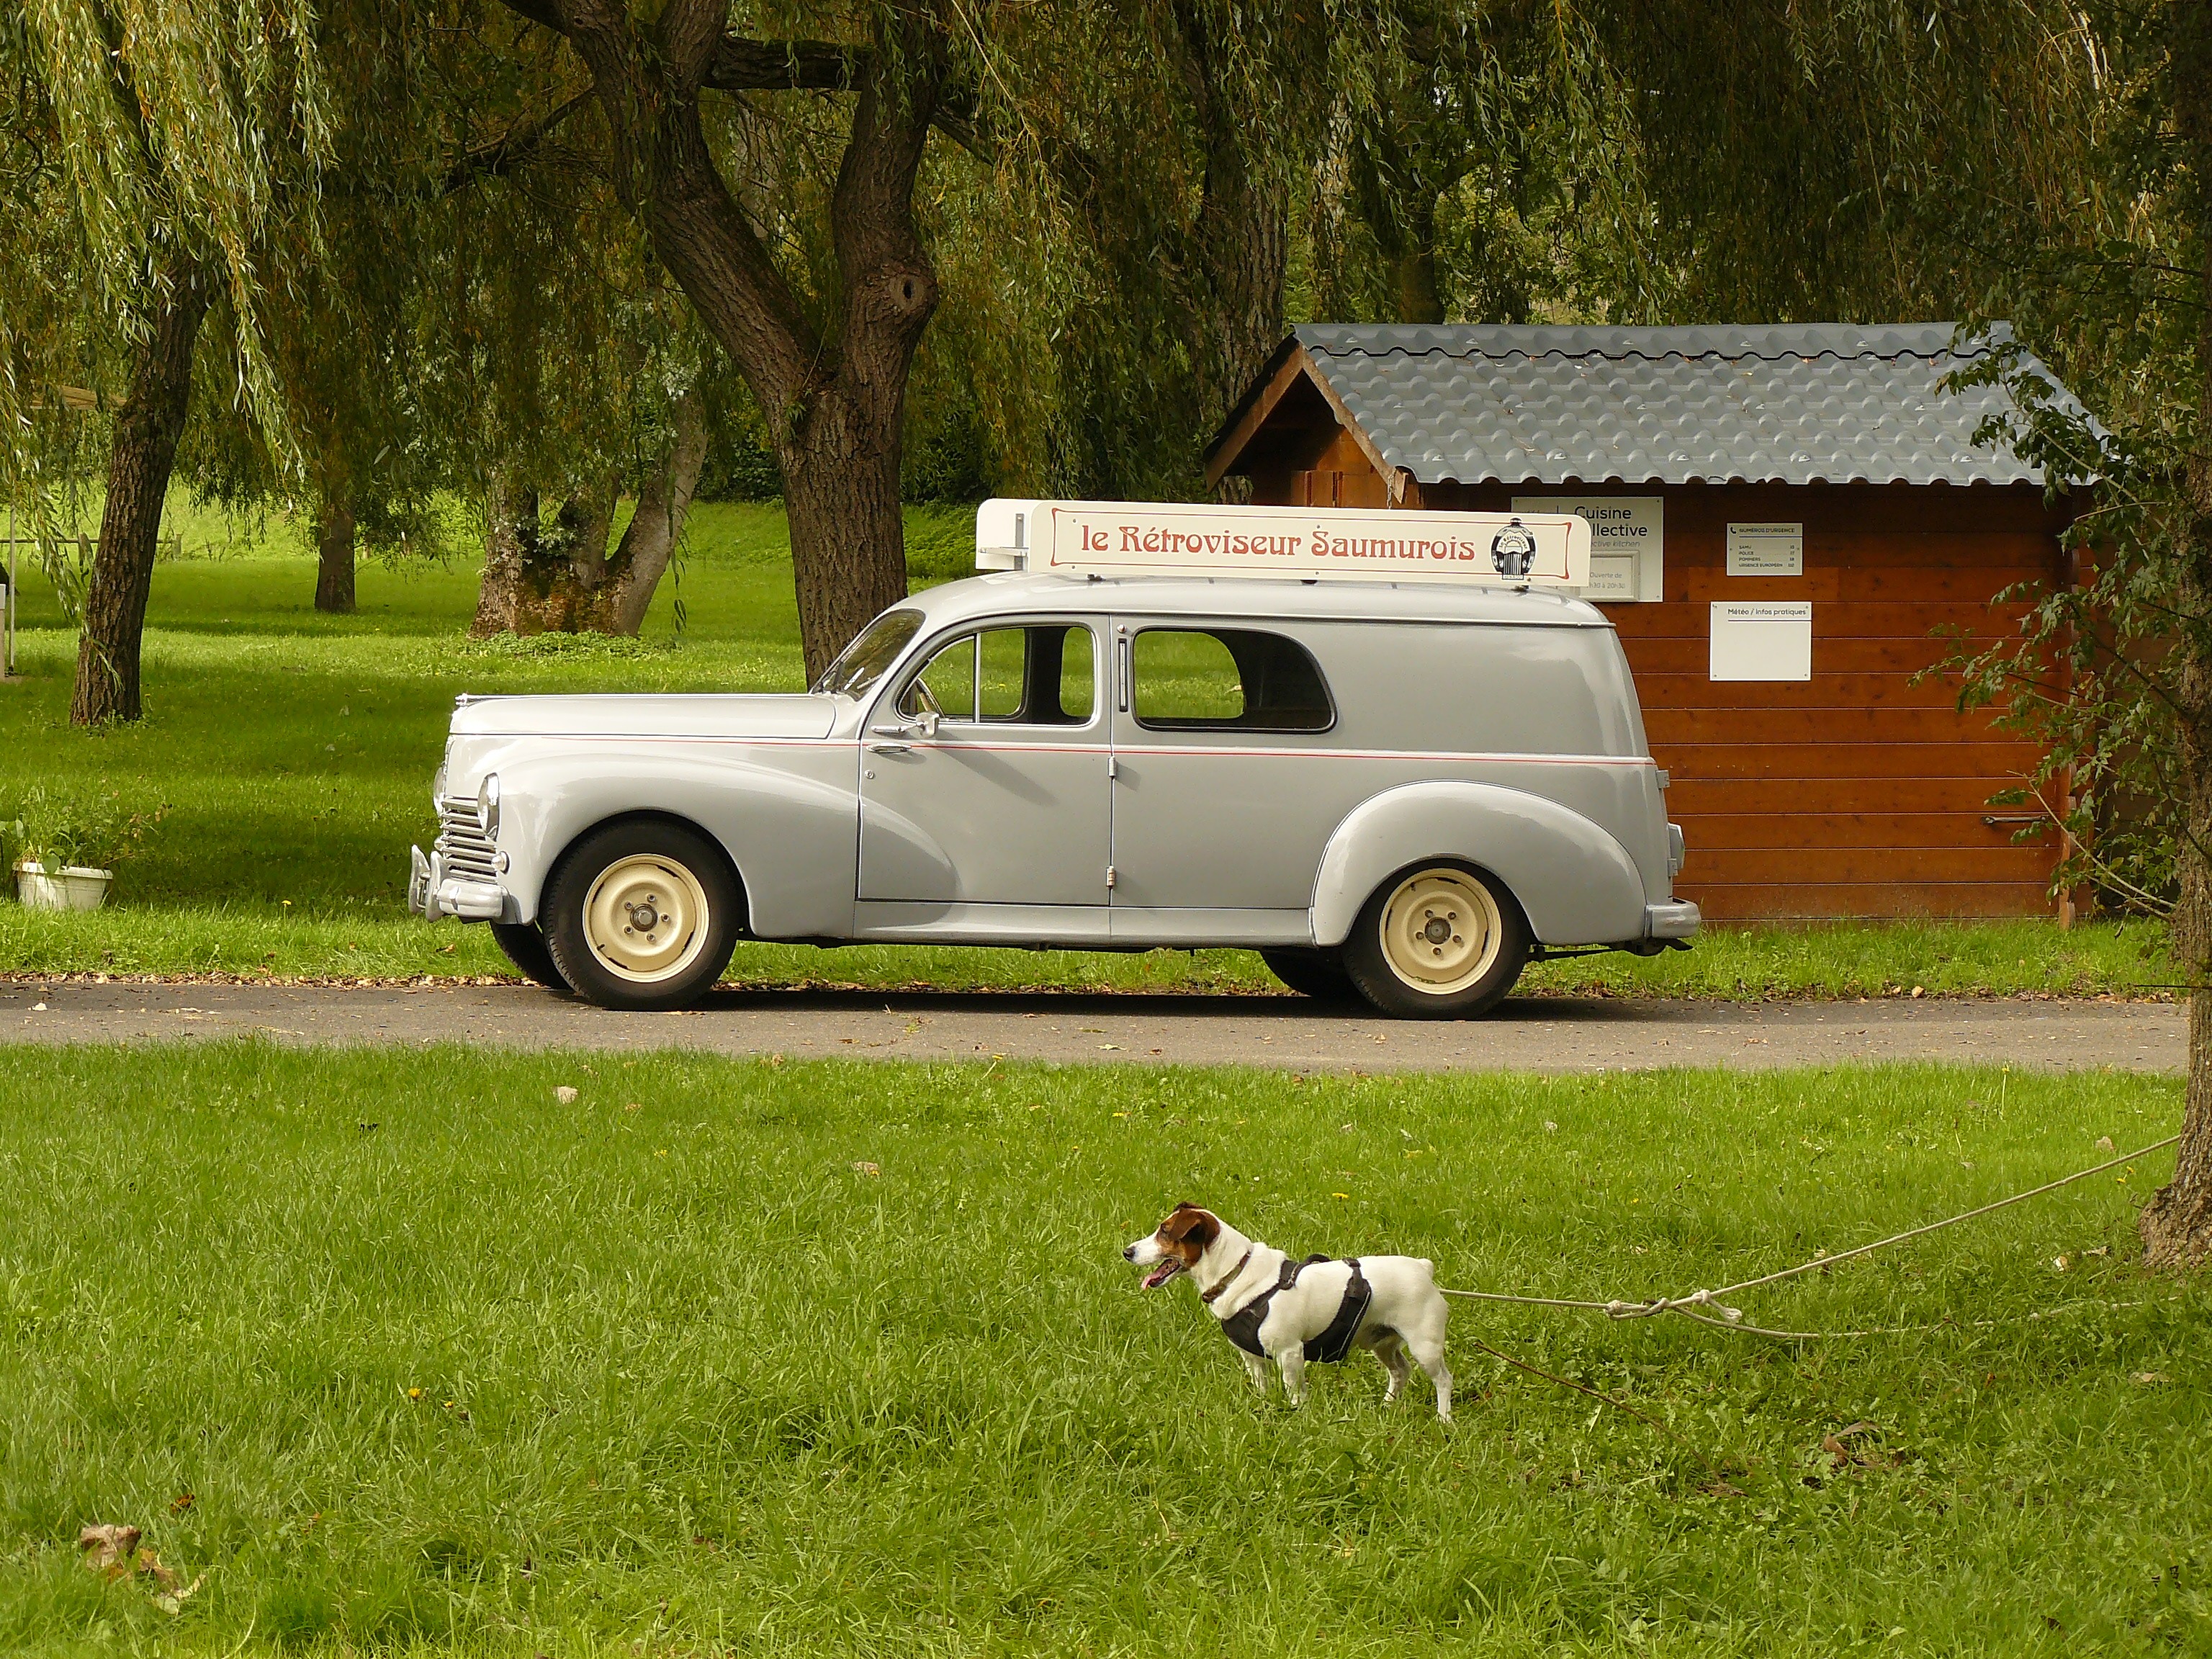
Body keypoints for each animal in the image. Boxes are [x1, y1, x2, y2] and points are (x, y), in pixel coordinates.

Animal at [1123, 1203, 1451, 1424]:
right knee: (1400, 1371)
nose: (1127, 1252)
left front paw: (1297, 1417)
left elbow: (1295, 1393)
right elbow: (1262, 1387)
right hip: (1381, 1342)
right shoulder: (1252, 1358)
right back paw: (1388, 1405)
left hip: (1425, 1346)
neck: (1238, 1274)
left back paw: (1443, 1419)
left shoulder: (1290, 1353)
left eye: (1165, 1232)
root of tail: (1423, 1269)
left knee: (1443, 1380)